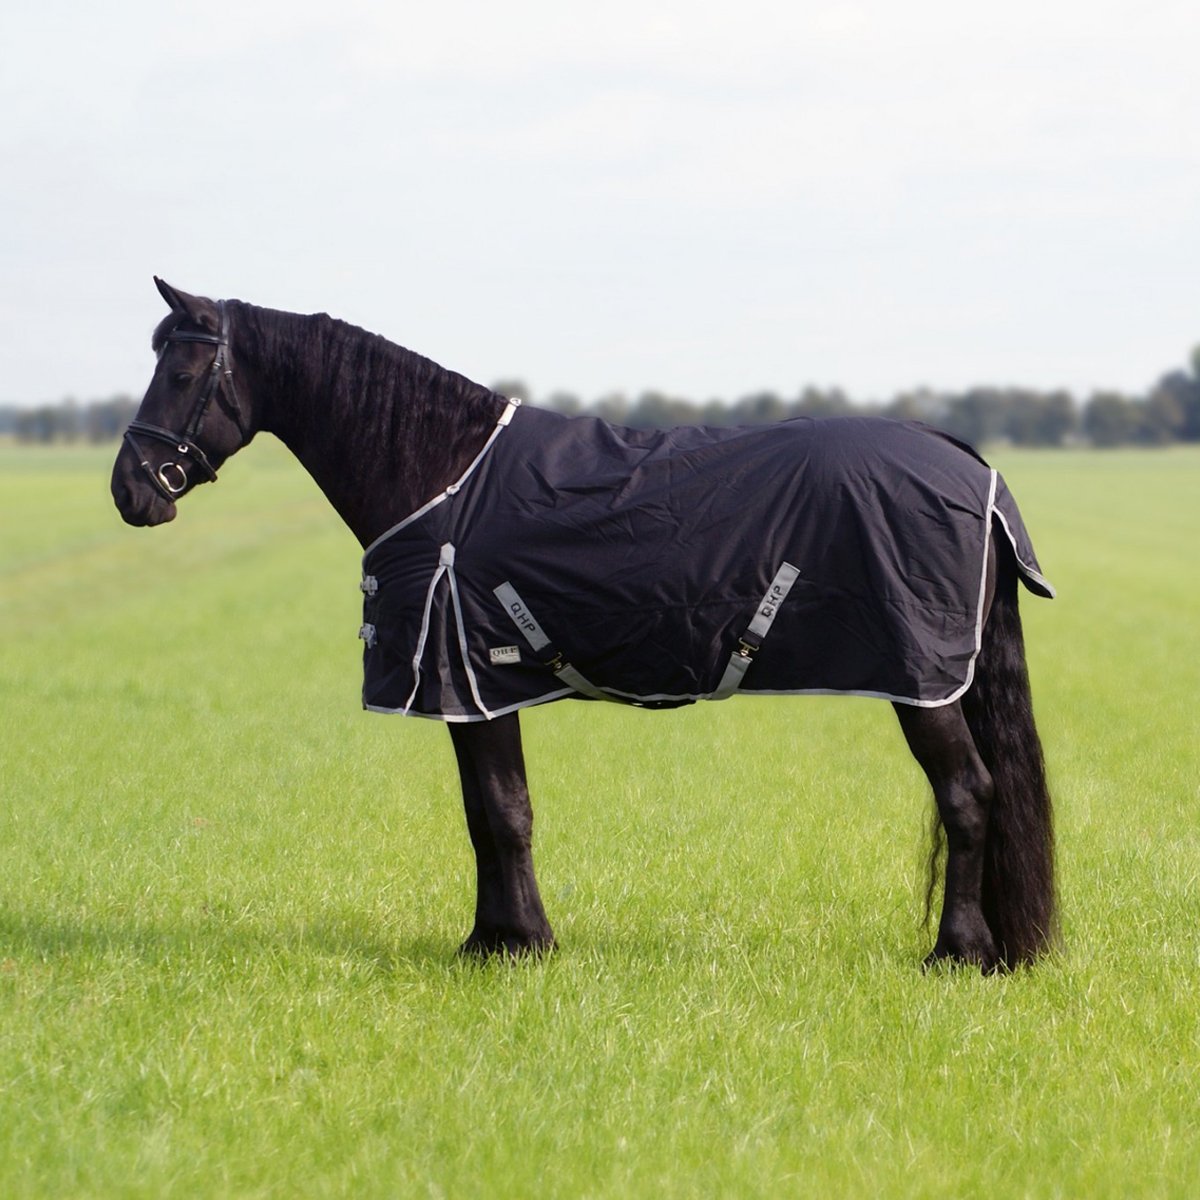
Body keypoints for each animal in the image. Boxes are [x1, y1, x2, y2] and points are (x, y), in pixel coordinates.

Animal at [110, 278, 1057, 972]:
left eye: (183, 373)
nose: (130, 490)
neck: (441, 474)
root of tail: (966, 460)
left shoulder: (470, 680)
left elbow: (501, 812)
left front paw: (517, 946)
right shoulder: (478, 692)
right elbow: (488, 812)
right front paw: (493, 938)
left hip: (924, 682)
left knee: (968, 793)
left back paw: (959, 954)